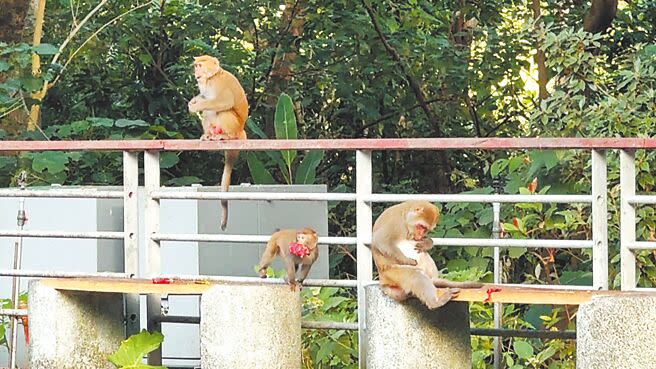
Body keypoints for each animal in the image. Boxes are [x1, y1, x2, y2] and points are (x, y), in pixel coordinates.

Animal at [192, 54, 251, 230]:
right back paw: (208, 135)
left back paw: (225, 136)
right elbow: (205, 99)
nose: (195, 72)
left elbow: (225, 101)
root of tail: (241, 131)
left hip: (234, 126)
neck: (211, 77)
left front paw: (196, 105)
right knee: (208, 112)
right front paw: (195, 101)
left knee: (223, 110)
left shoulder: (219, 84)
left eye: (200, 65)